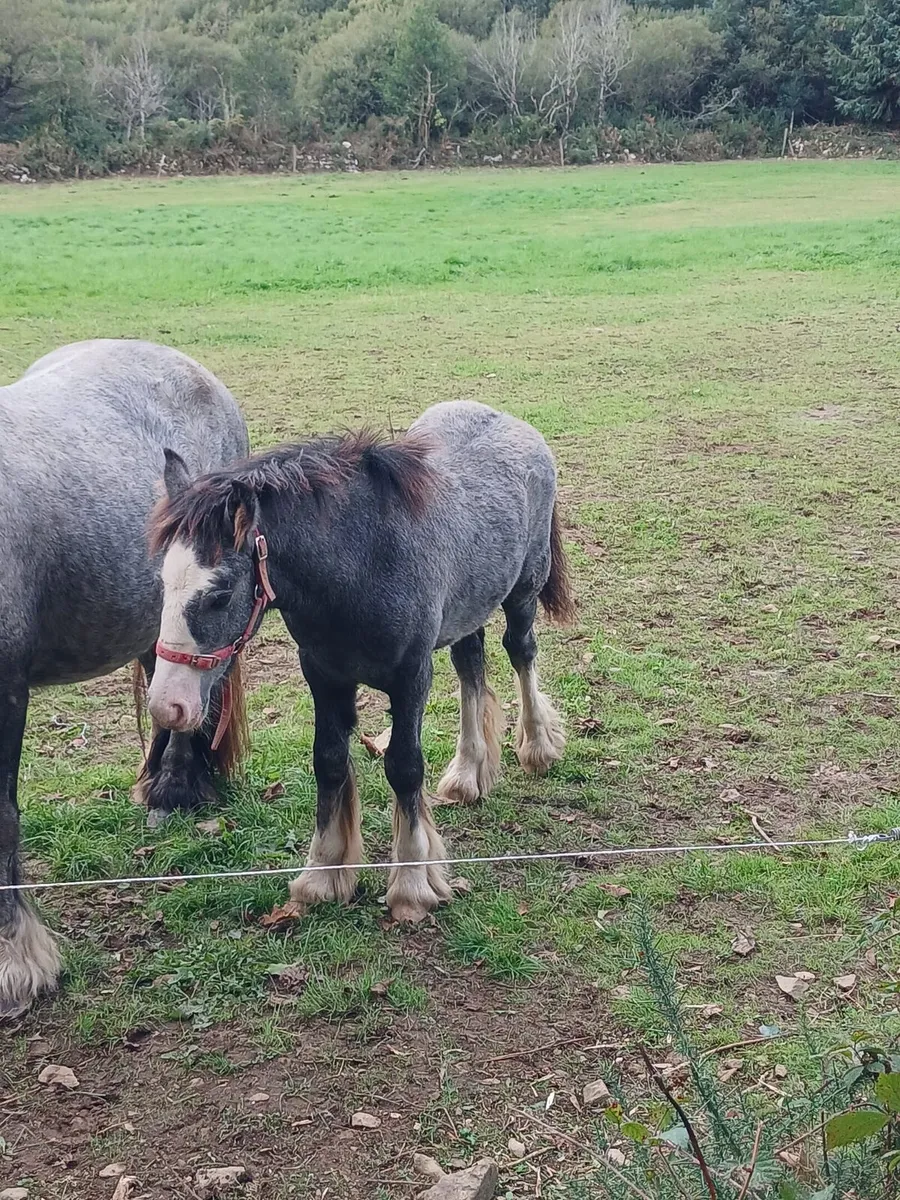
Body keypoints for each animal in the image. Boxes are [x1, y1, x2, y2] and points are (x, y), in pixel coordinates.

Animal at [147, 399, 575, 924]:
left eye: (220, 595)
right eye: (162, 583)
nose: (168, 706)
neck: (362, 562)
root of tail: (512, 422)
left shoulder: (410, 676)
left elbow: (404, 767)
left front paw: (412, 883)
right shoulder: (323, 674)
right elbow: (329, 761)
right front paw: (323, 874)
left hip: (523, 592)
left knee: (521, 651)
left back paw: (537, 745)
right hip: (469, 606)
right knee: (470, 664)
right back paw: (467, 773)